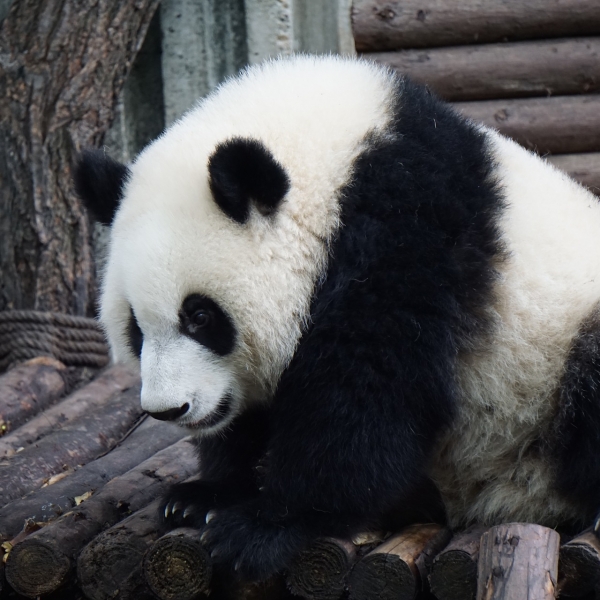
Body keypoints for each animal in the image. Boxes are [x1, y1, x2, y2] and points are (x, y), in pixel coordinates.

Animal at [74, 54, 600, 580]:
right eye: (135, 327)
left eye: (200, 317)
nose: (169, 409)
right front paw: (202, 496)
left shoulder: (406, 233)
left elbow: (367, 390)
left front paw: (264, 526)